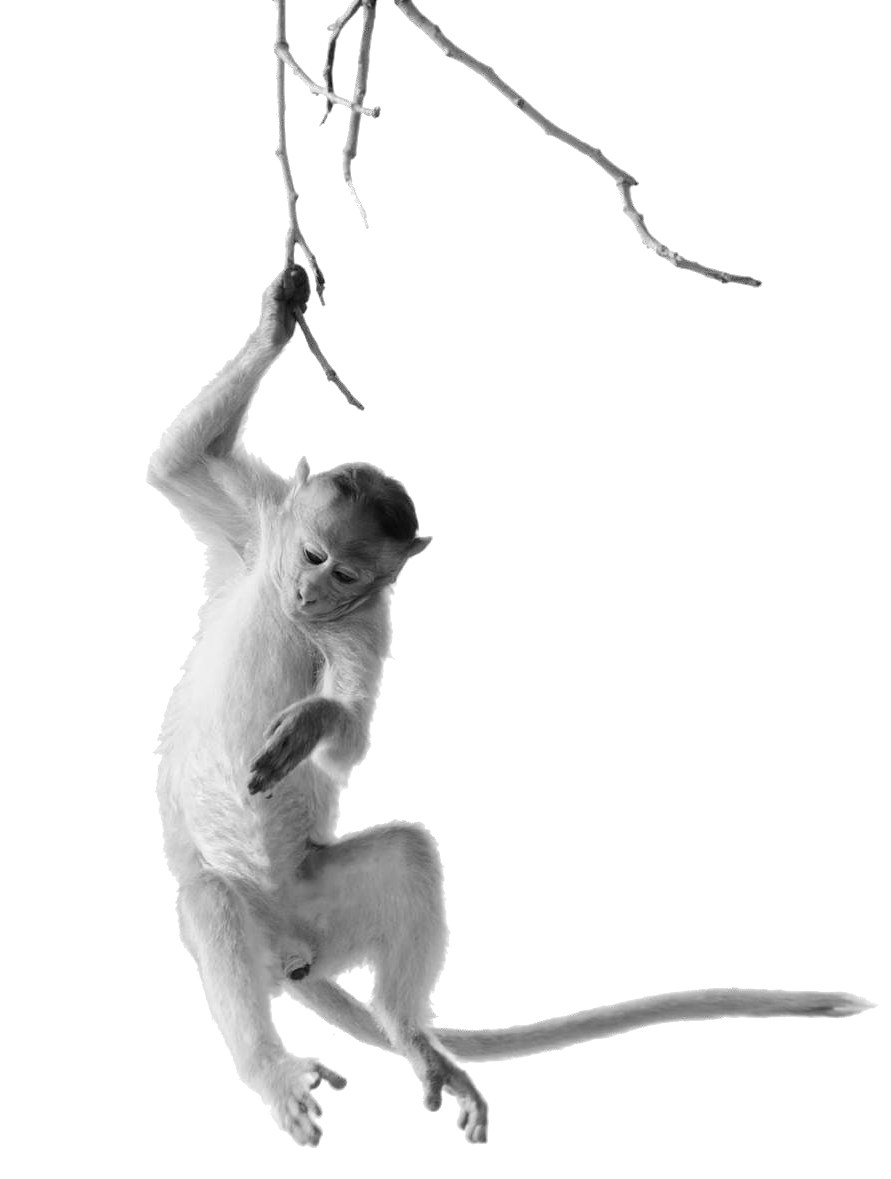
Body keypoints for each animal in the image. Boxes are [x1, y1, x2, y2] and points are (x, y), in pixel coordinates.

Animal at [148, 270, 874, 1148]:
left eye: (350, 575)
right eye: (315, 556)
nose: (314, 594)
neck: (300, 610)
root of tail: (295, 954)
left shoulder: (365, 626)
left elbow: (344, 740)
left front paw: (313, 726)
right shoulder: (256, 530)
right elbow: (176, 465)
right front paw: (279, 314)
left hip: (319, 904)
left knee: (406, 855)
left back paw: (410, 1036)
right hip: (253, 914)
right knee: (214, 902)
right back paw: (275, 1067)